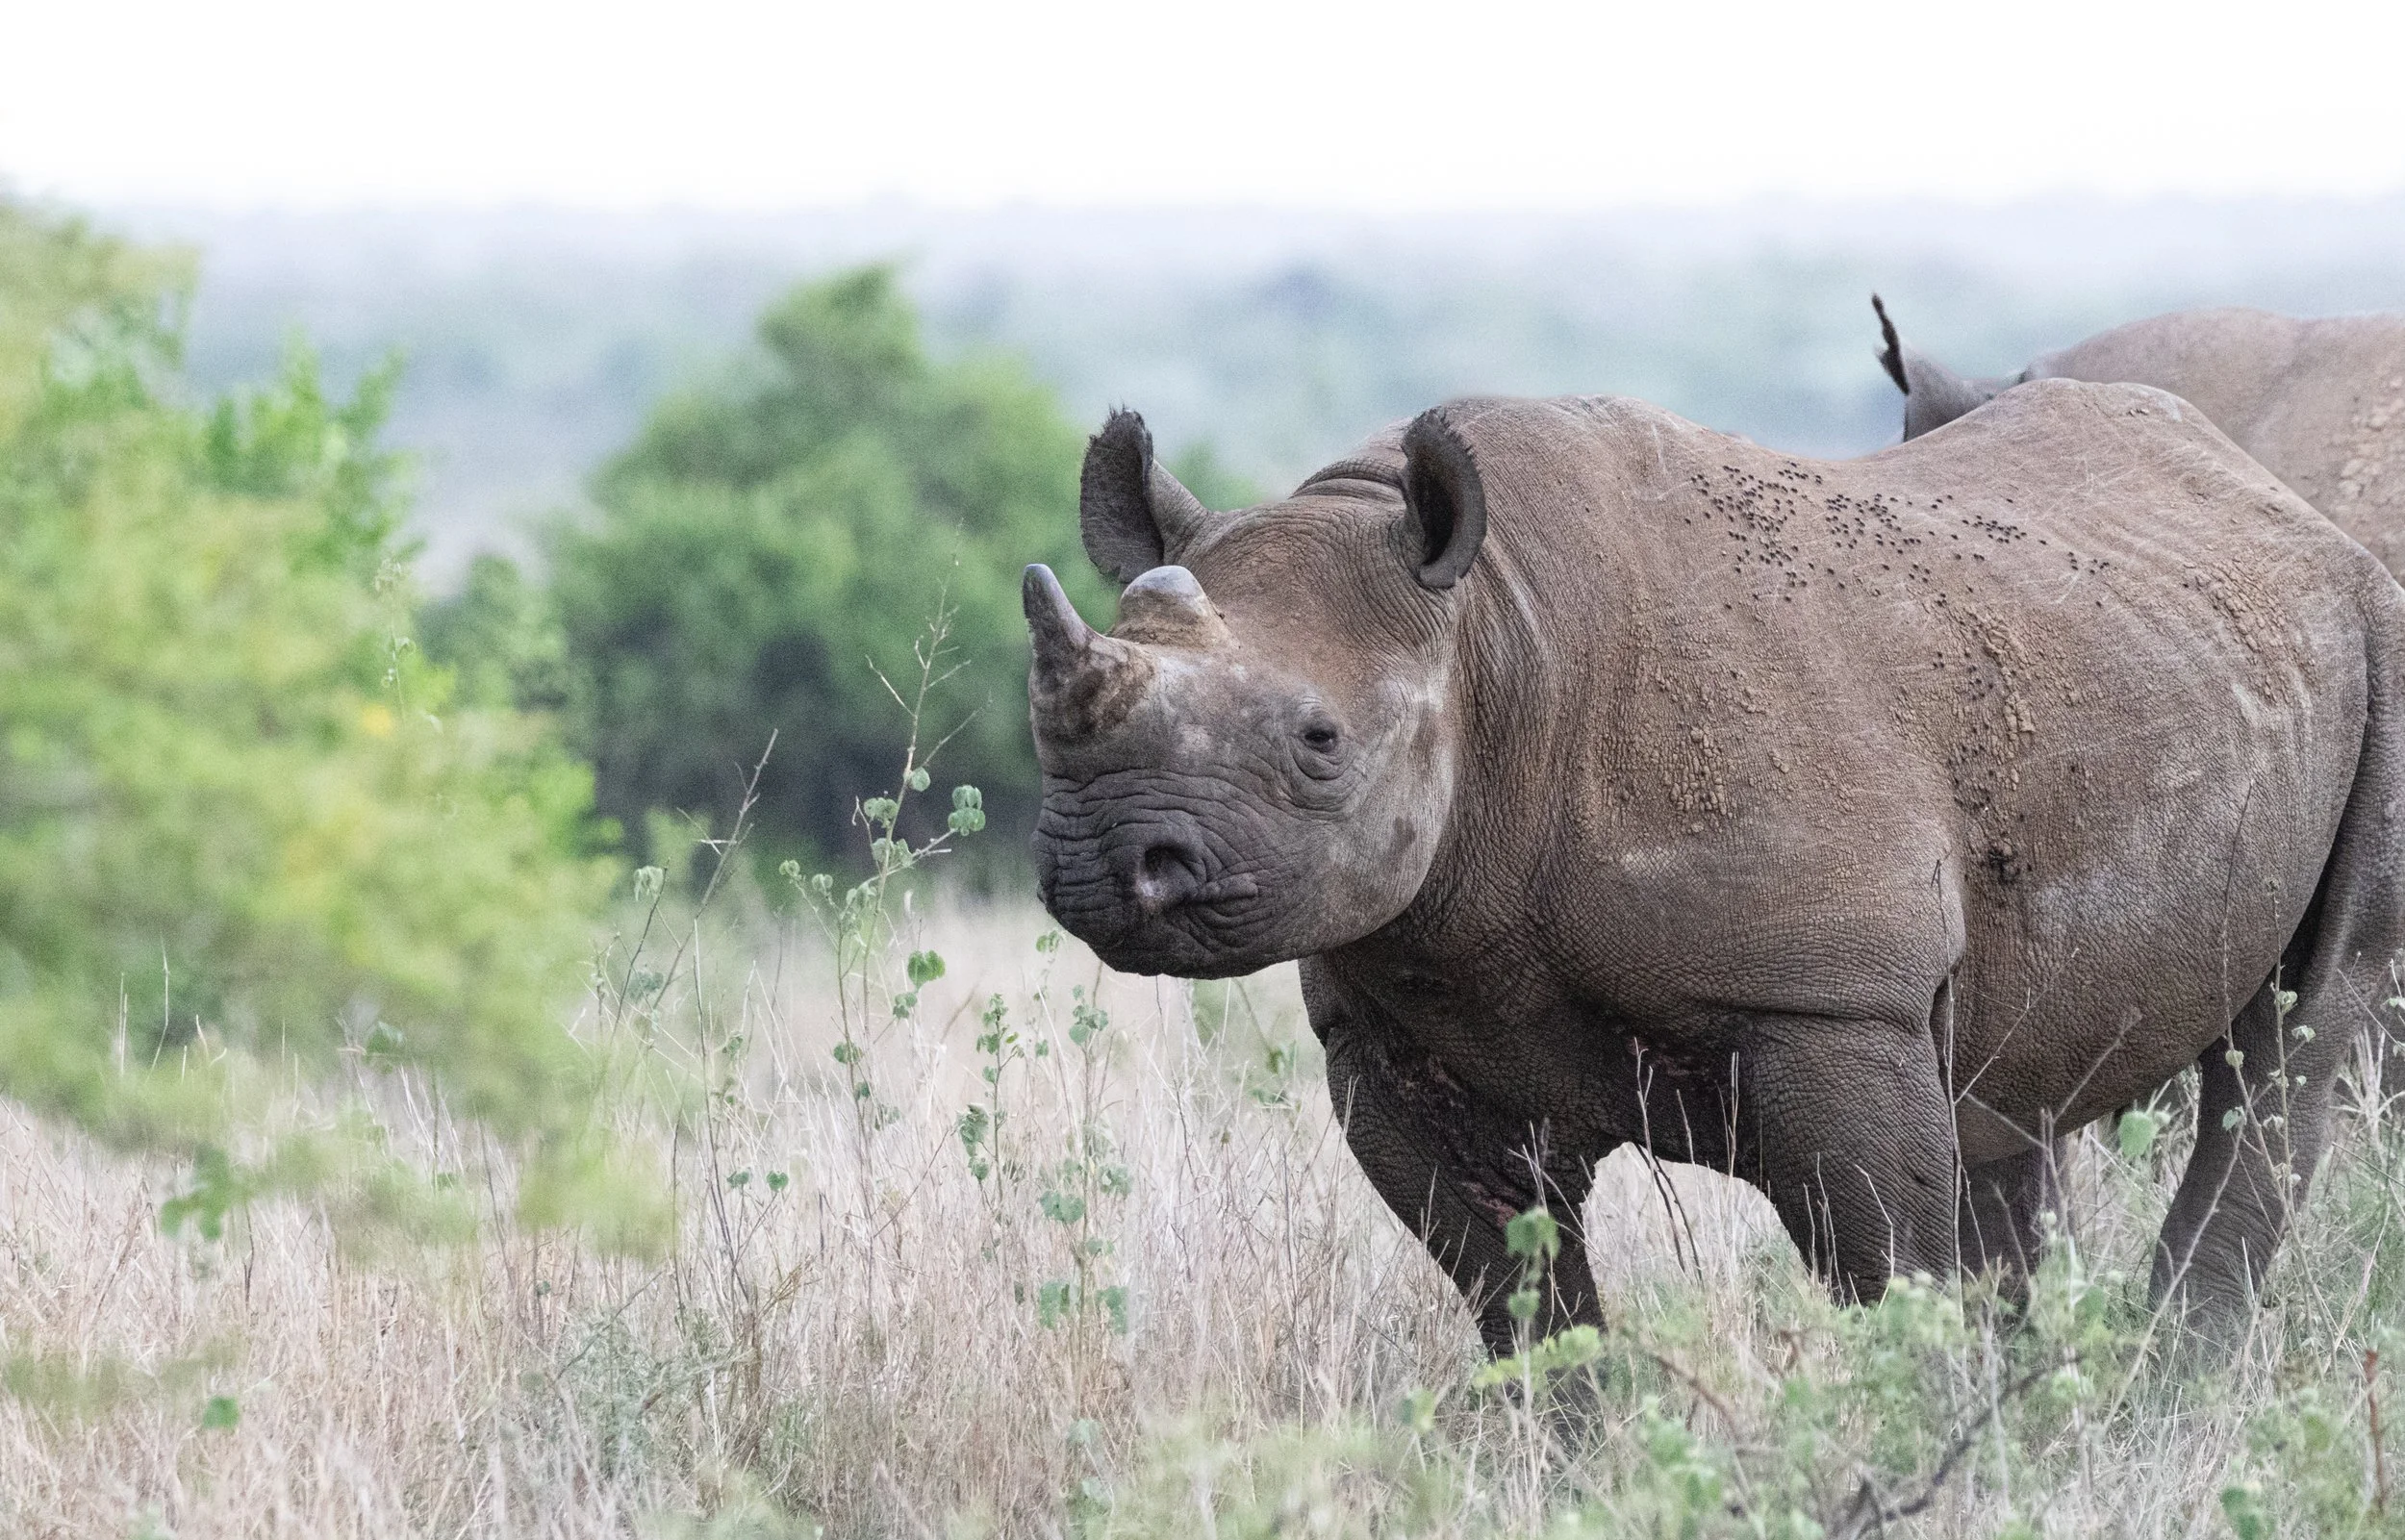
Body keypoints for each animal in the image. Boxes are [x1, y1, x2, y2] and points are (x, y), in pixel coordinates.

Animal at [1024, 386, 2405, 1353]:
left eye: (1319, 743)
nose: (1103, 863)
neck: (1490, 639)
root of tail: (2274, 499)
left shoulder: (1832, 1000)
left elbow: (1887, 1266)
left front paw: (1917, 1439)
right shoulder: (1396, 1017)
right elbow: (1517, 1295)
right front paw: (1566, 1464)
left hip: (2374, 625)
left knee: (2296, 1030)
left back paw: (2161, 1386)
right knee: (2009, 1085)